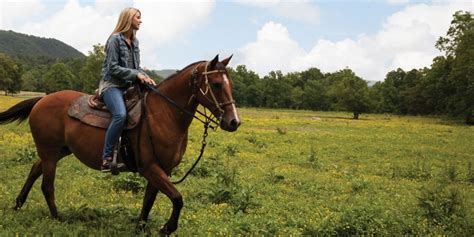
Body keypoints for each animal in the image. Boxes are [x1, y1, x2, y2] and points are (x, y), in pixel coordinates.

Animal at [0, 54, 239, 234]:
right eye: (216, 84)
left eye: (231, 84)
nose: (233, 121)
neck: (163, 115)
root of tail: (41, 100)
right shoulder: (150, 168)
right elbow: (177, 198)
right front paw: (167, 228)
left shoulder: (163, 170)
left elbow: (149, 199)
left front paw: (140, 227)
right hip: (50, 153)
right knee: (47, 185)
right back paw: (57, 218)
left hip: (59, 151)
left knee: (34, 169)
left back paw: (18, 204)